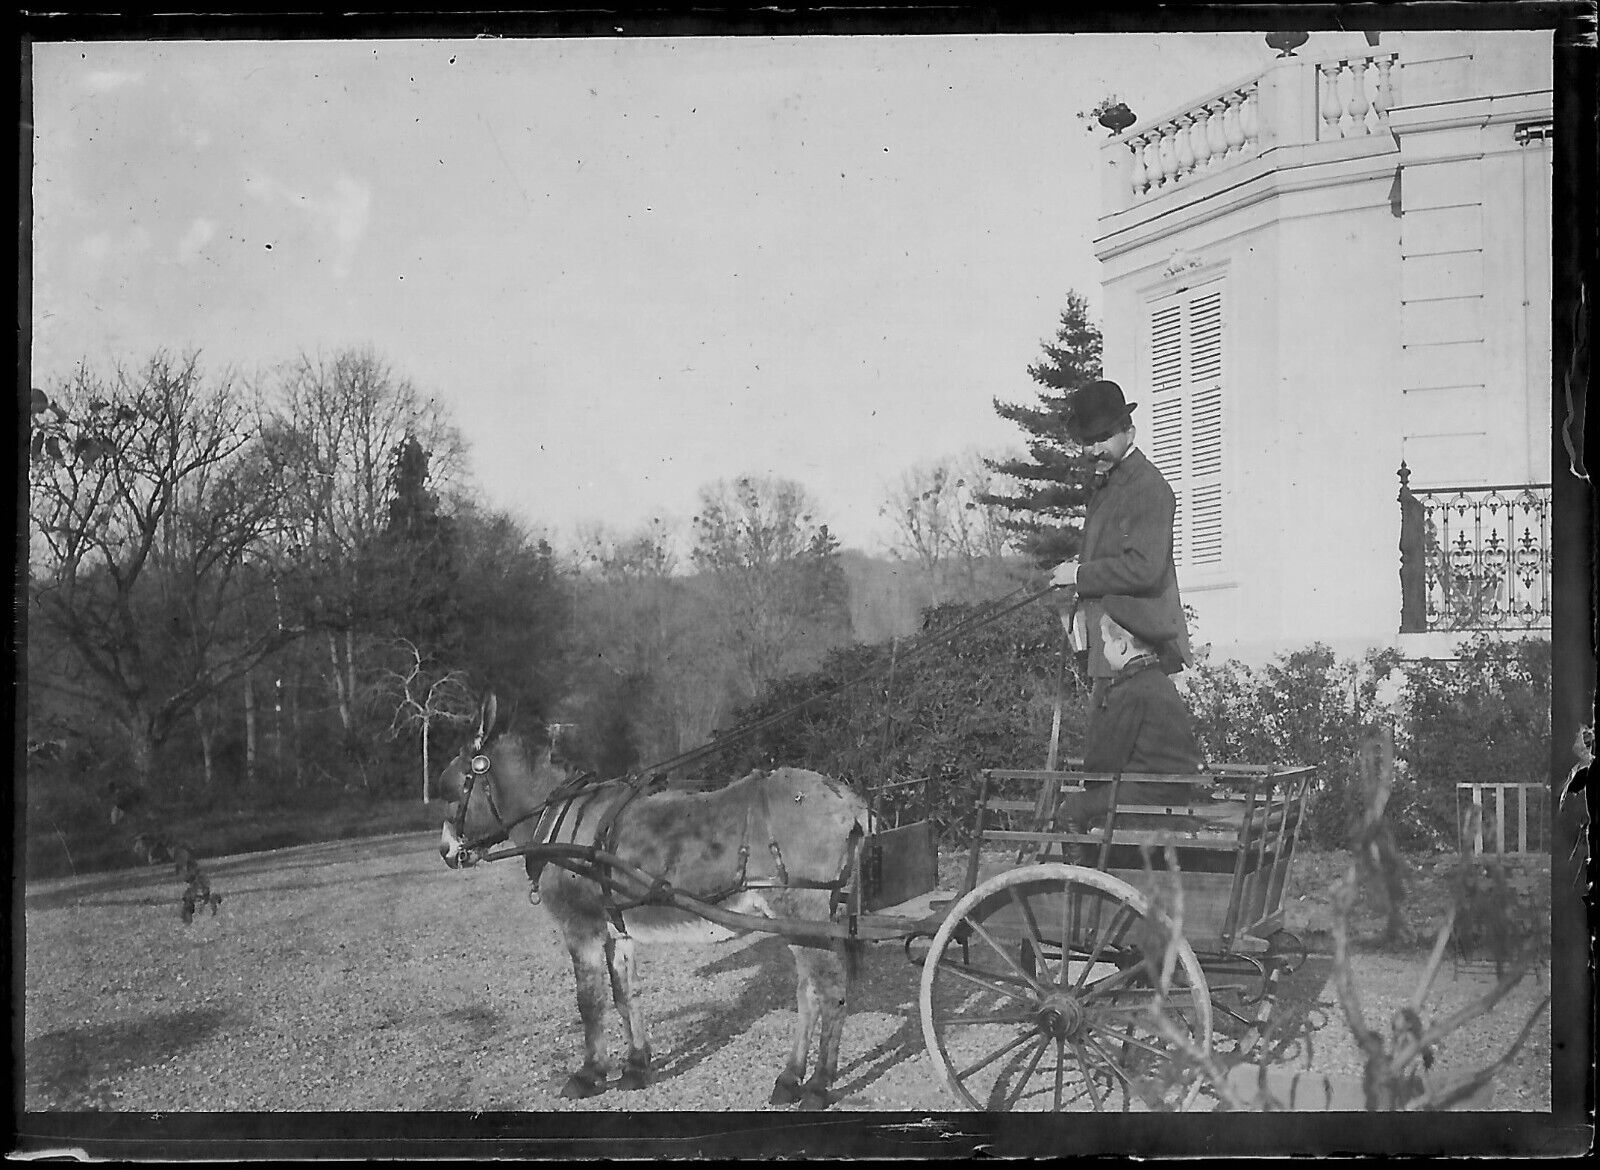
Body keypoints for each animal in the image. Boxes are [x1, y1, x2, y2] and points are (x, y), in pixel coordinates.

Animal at [435, 691, 876, 1113]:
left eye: (452, 790)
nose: (446, 852)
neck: (561, 819)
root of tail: (845, 798)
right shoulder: (618, 930)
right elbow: (623, 995)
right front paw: (635, 1068)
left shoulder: (581, 929)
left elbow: (589, 1001)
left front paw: (589, 1074)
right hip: (801, 923)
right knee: (809, 993)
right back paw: (789, 1080)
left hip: (803, 917)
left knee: (831, 993)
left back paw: (817, 1086)